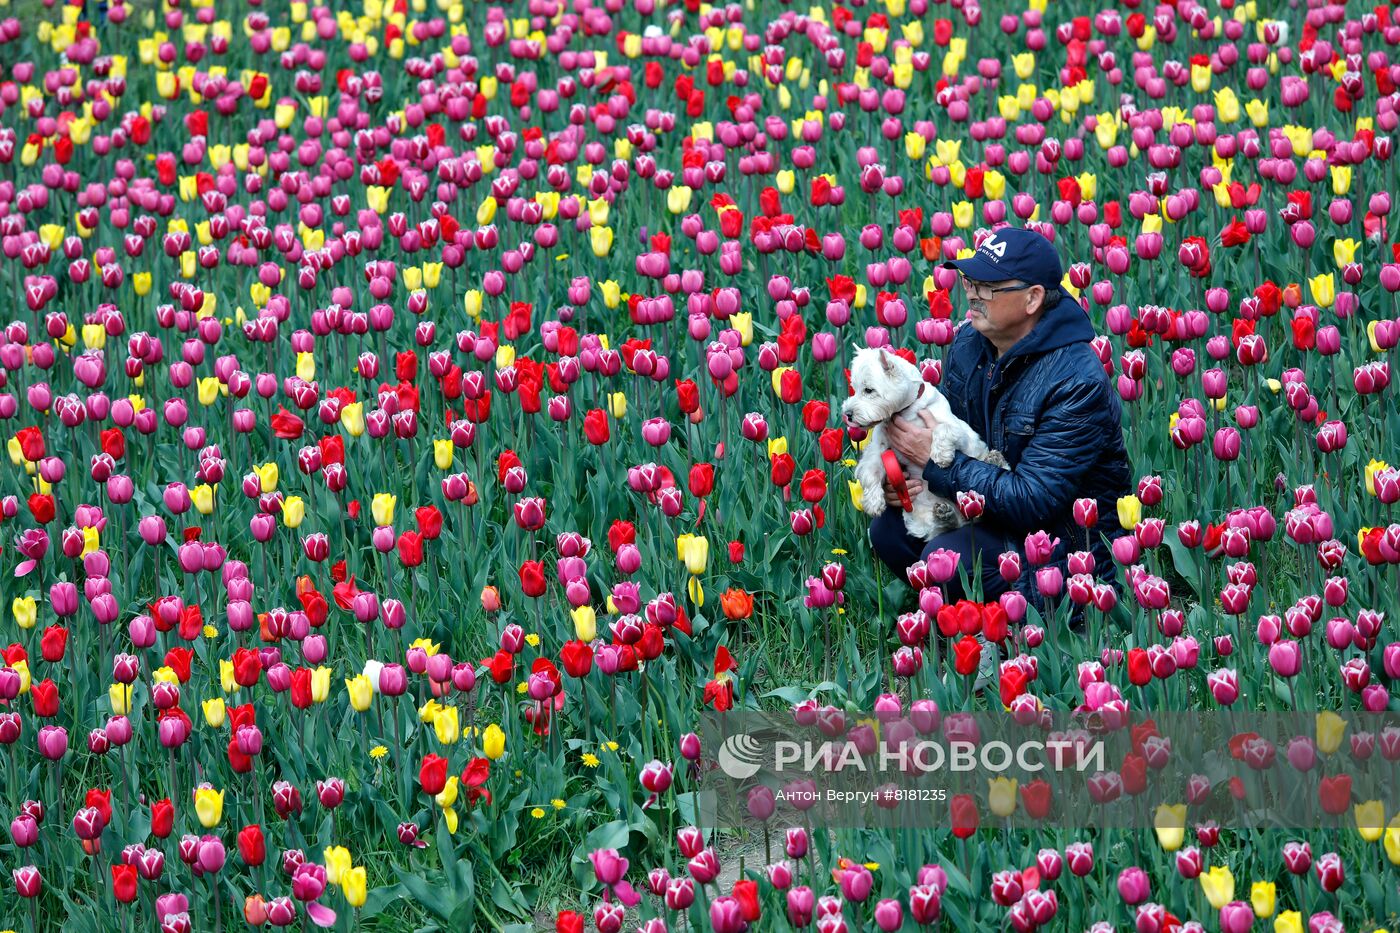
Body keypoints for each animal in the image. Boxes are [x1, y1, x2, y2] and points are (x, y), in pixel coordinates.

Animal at [840, 347, 1008, 537]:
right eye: (854, 388)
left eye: (869, 390)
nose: (847, 414)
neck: (905, 412)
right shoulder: (879, 450)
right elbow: (870, 471)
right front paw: (873, 503)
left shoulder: (957, 429)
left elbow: (942, 429)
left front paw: (941, 457)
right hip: (920, 515)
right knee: (943, 527)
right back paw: (945, 515)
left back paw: (995, 459)